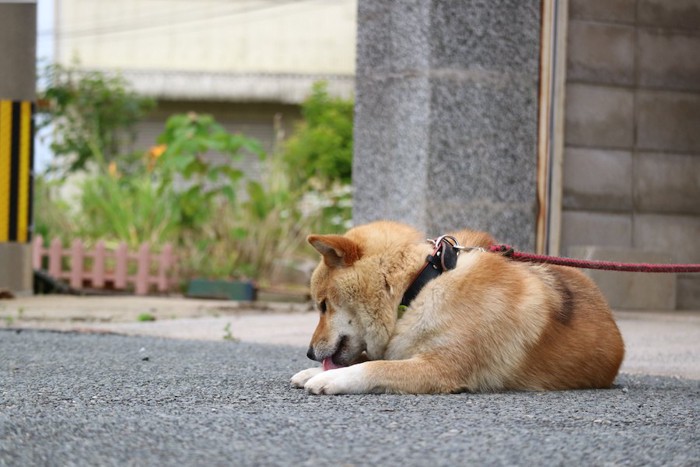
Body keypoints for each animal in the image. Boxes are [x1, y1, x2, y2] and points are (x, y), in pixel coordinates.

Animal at [290, 221, 624, 394]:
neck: (418, 285)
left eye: (323, 306)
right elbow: (366, 359)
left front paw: (330, 378)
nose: (308, 352)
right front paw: (312, 371)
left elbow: (374, 367)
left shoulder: (442, 368)